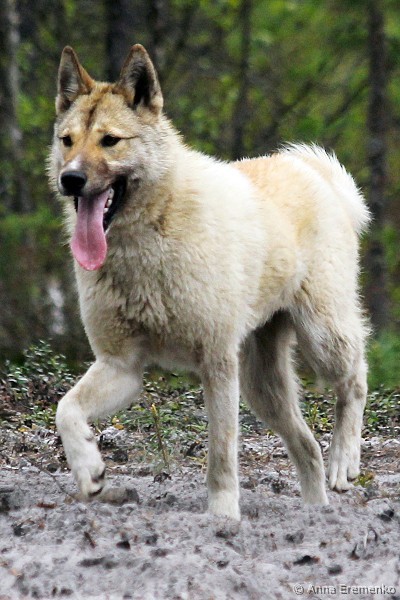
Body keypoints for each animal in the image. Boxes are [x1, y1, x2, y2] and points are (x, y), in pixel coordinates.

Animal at [48, 44, 370, 519]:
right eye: (67, 140)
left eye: (110, 140)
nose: (70, 178)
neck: (150, 238)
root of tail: (312, 171)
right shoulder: (121, 367)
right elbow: (66, 409)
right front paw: (89, 469)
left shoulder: (217, 364)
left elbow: (221, 452)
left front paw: (222, 518)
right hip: (262, 386)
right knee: (307, 447)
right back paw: (314, 512)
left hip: (322, 338)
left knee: (355, 380)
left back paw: (344, 460)